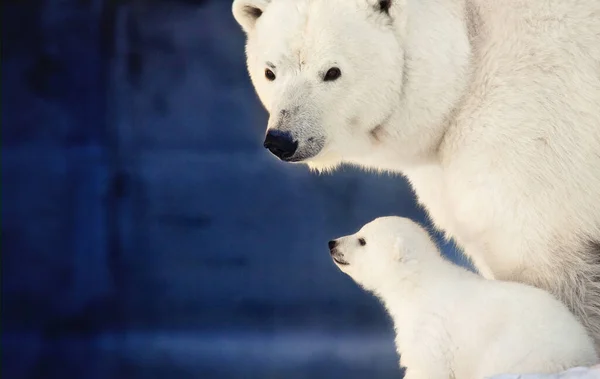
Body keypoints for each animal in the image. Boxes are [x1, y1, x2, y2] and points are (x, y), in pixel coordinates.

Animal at [330, 217, 596, 379]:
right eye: (360, 231)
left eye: (362, 240)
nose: (332, 243)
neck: (416, 284)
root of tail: (584, 354)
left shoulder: (432, 330)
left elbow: (426, 365)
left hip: (521, 352)